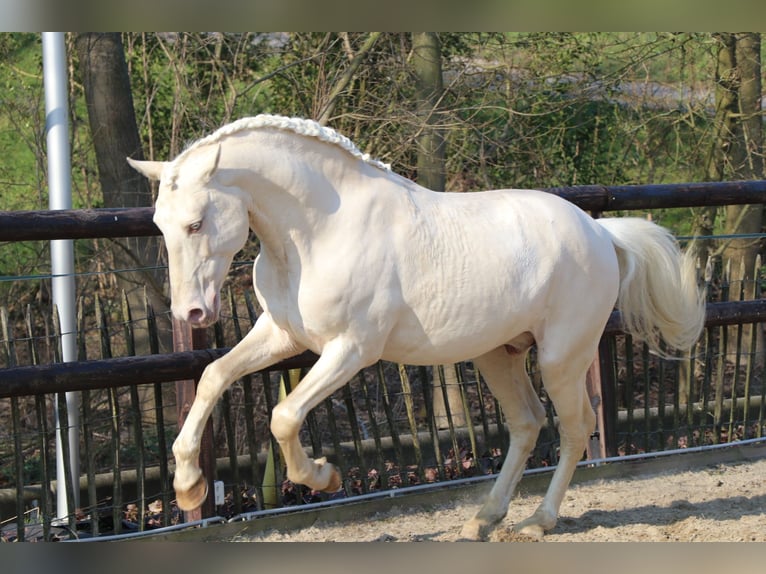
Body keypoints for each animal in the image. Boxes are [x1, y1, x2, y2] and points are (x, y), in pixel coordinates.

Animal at [127, 115, 708, 544]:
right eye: (159, 224)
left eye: (196, 223)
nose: (191, 314)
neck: (318, 231)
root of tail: (600, 231)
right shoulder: (282, 335)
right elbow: (213, 378)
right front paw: (188, 487)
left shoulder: (352, 350)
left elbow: (284, 416)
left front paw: (324, 476)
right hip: (498, 354)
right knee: (526, 423)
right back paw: (482, 519)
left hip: (561, 356)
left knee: (575, 427)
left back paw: (537, 522)